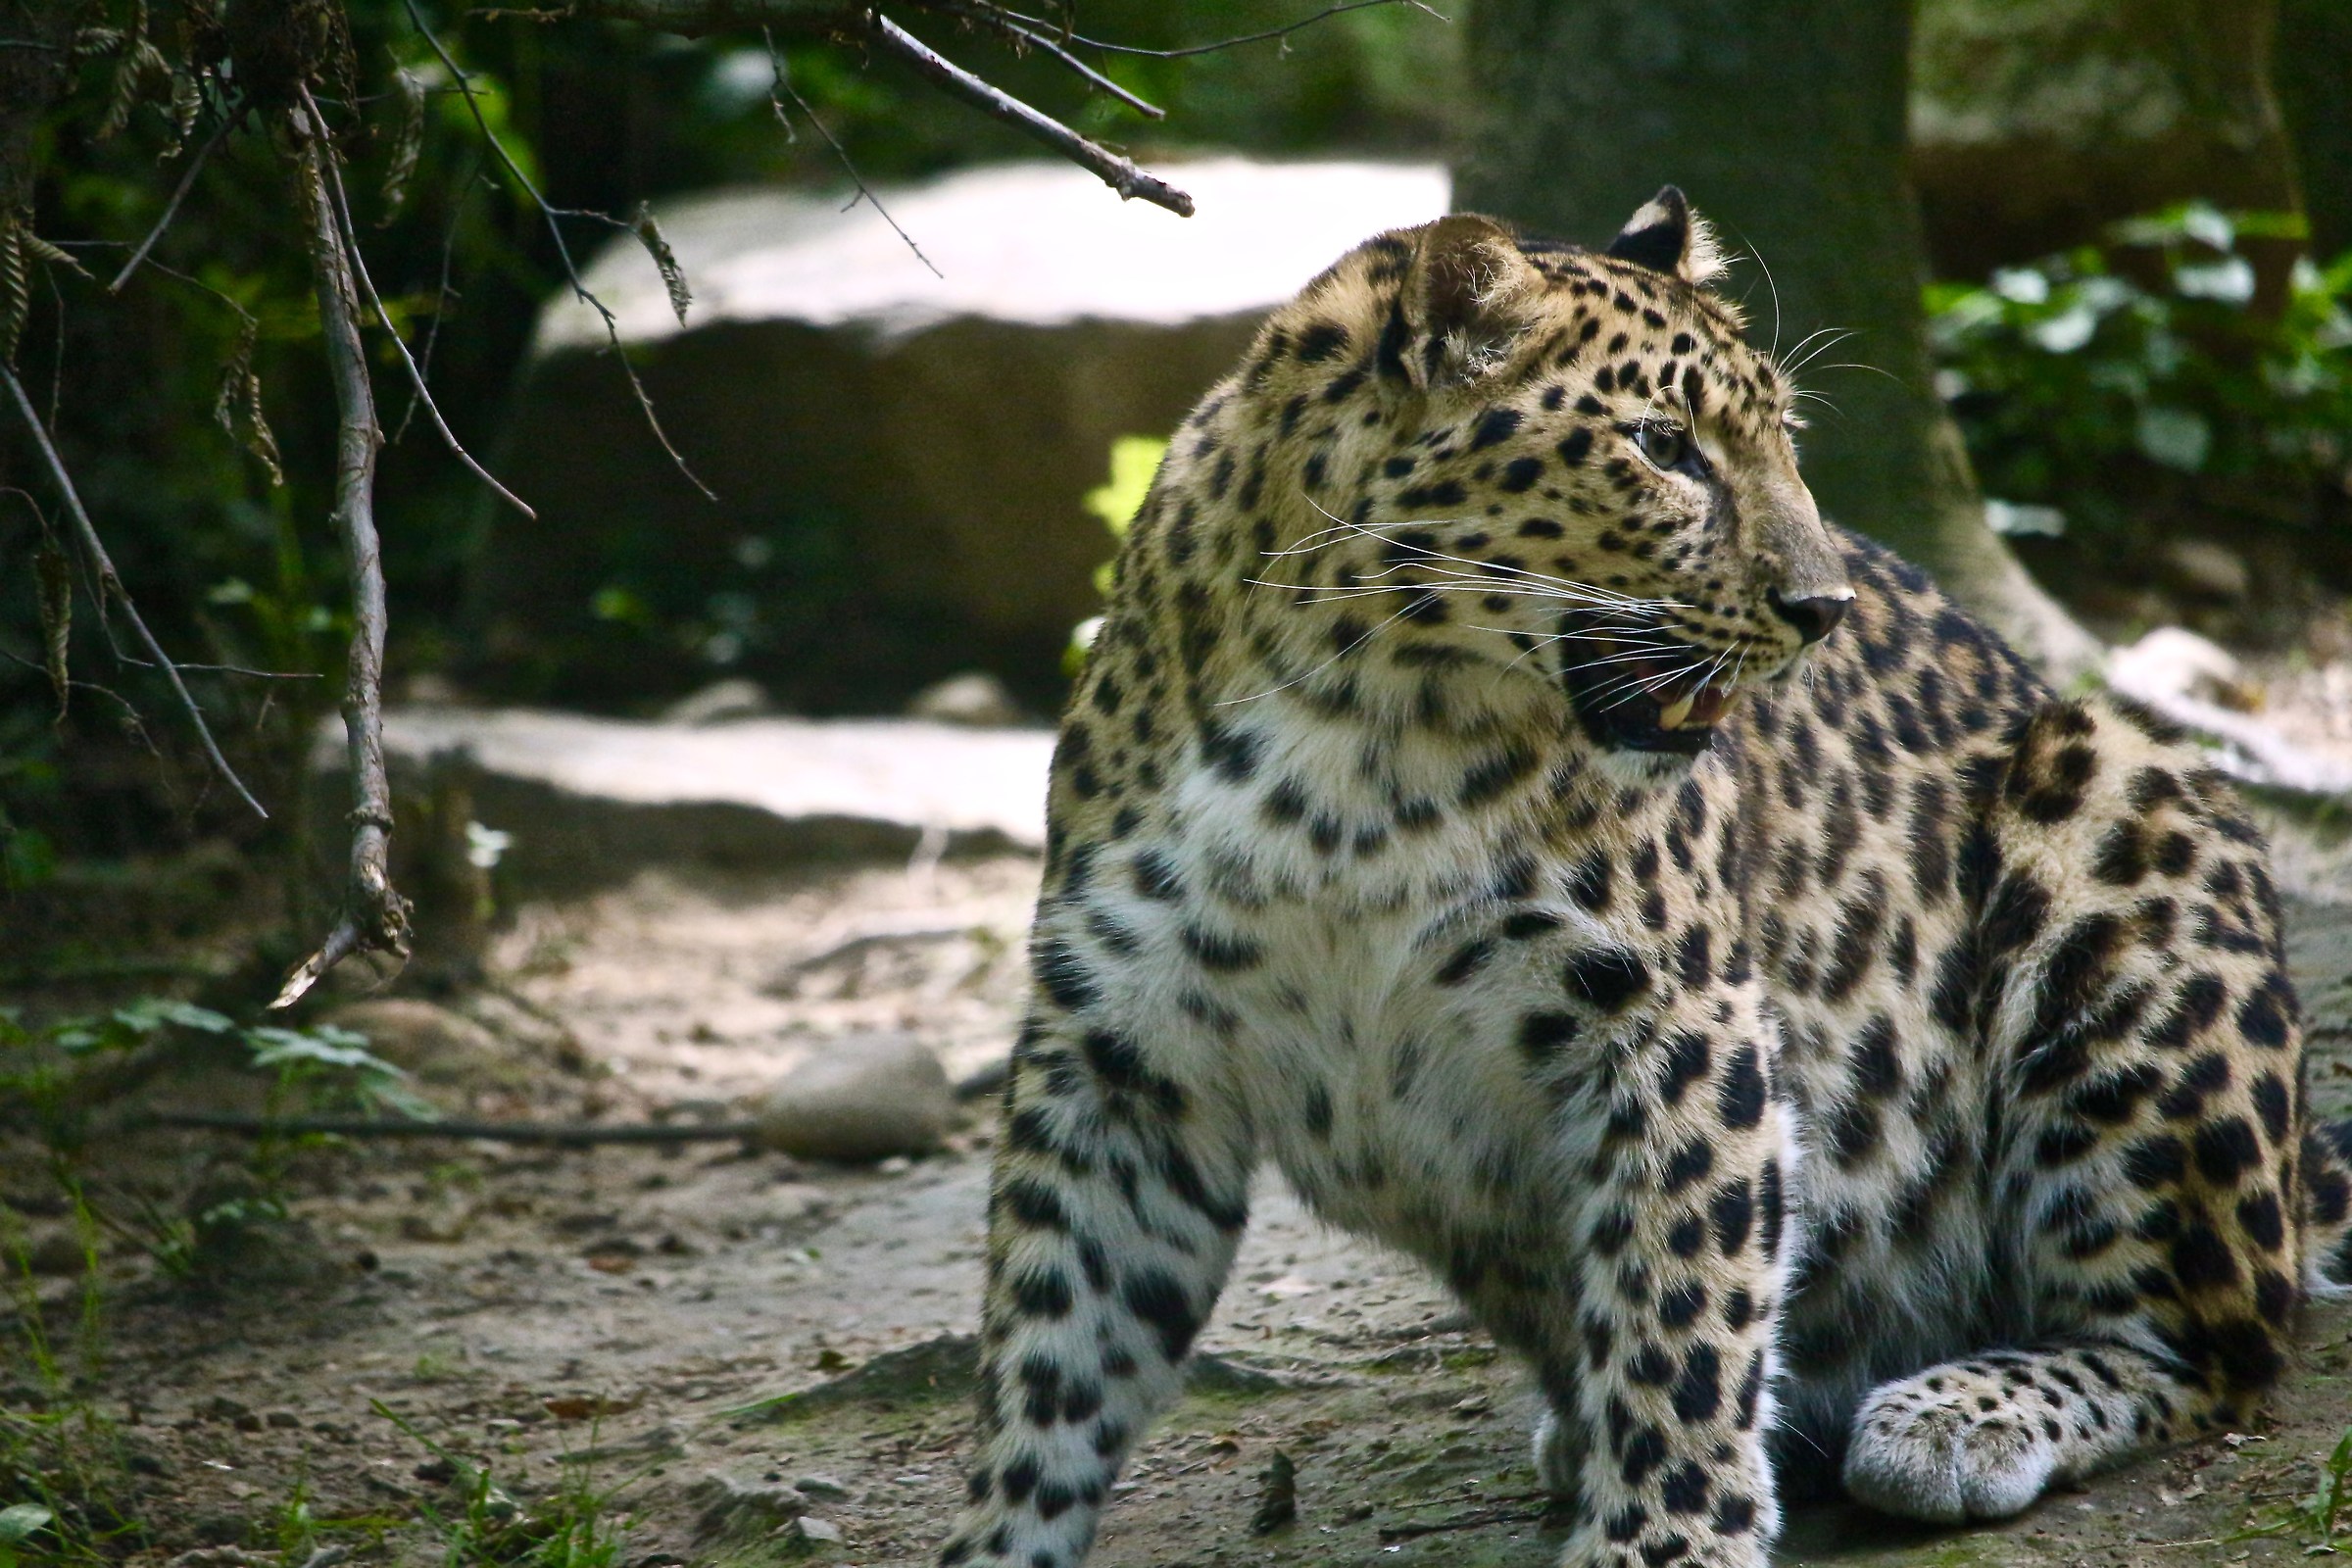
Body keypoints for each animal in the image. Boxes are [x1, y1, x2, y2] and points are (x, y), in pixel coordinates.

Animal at [934, 188, 2352, 1568]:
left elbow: (1682, 1312)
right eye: (1663, 448)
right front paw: (1003, 1536)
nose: (1824, 608)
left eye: (1782, 439)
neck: (1354, 725)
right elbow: (1053, 1348)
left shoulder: (1672, 1019)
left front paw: (1669, 1540)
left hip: (2116, 810)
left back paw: (1954, 1415)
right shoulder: (1121, 1053)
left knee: (2218, 1338)